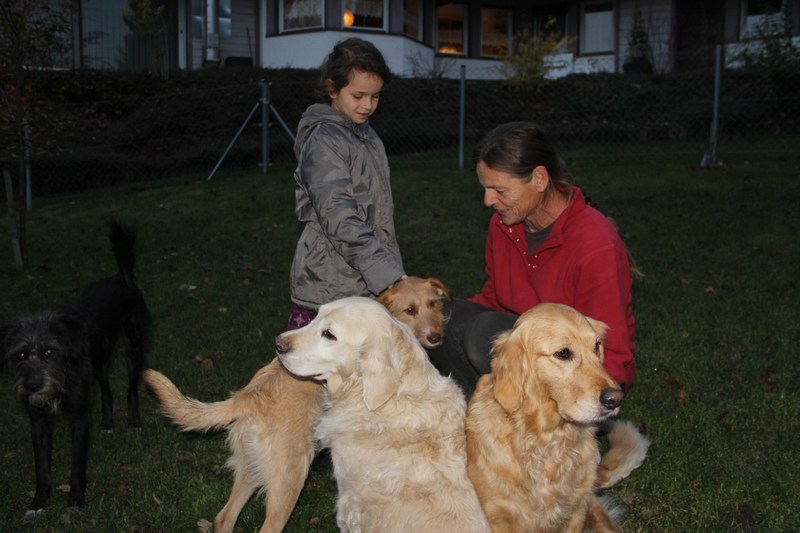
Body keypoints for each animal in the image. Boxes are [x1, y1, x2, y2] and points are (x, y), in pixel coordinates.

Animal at [0, 220, 151, 519]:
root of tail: (122, 278)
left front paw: (75, 501)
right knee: (106, 389)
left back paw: (133, 423)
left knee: (131, 388)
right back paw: (107, 424)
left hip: (134, 349)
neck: (61, 377)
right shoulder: (38, 421)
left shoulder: (79, 417)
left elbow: (77, 464)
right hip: (102, 361)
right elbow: (41, 467)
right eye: (20, 355)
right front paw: (38, 503)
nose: (32, 386)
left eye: (49, 351)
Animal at [143, 276, 453, 533]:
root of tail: (249, 395)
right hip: (288, 482)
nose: (436, 337)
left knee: (224, 518)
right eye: (410, 310)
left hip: (252, 470)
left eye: (433, 304)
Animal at [465, 303, 649, 533]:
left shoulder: (576, 512)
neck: (548, 438)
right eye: (563, 353)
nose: (615, 399)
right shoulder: (499, 515)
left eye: (597, 346)